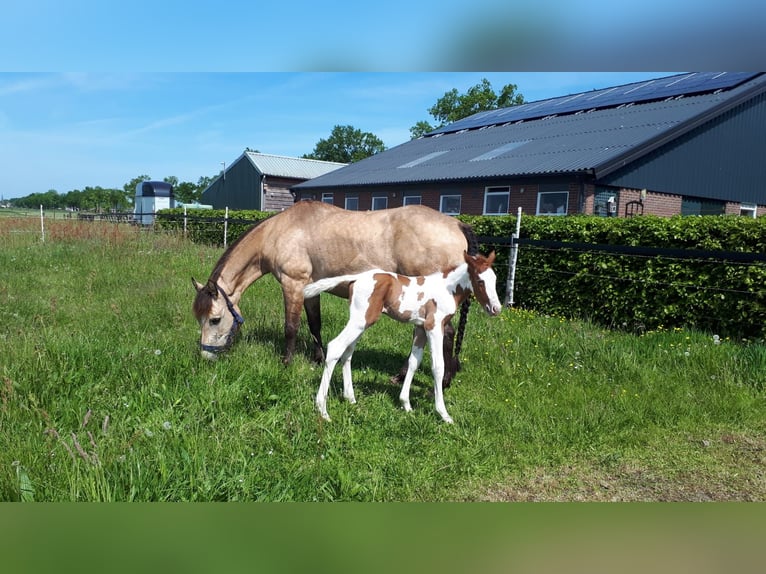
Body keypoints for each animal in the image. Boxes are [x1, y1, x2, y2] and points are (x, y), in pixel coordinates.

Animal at [191, 200, 480, 386]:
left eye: (215, 319)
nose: (206, 357)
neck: (280, 231)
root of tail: (457, 225)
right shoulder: (310, 290)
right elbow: (314, 325)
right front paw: (318, 359)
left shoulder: (292, 285)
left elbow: (291, 327)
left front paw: (286, 363)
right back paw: (401, 376)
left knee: (446, 333)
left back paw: (443, 381)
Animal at [303, 250, 501, 423]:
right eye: (480, 281)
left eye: (495, 280)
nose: (496, 309)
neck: (448, 289)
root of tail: (356, 278)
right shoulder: (434, 327)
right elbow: (438, 366)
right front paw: (444, 414)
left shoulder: (420, 328)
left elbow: (414, 361)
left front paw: (406, 405)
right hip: (360, 320)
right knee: (336, 347)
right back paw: (323, 410)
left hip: (361, 321)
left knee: (348, 352)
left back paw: (350, 398)